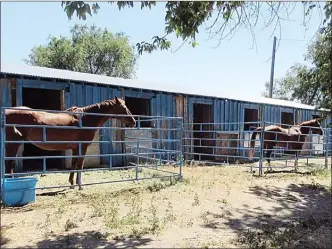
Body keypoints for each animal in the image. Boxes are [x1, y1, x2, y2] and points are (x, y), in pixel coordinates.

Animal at [2, 96, 135, 190]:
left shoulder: (75, 148)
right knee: (9, 165)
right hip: (13, 144)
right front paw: (80, 186)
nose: (133, 122)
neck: (85, 119)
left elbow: (73, 165)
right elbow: (80, 165)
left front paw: (72, 184)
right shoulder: (82, 147)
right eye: (124, 108)